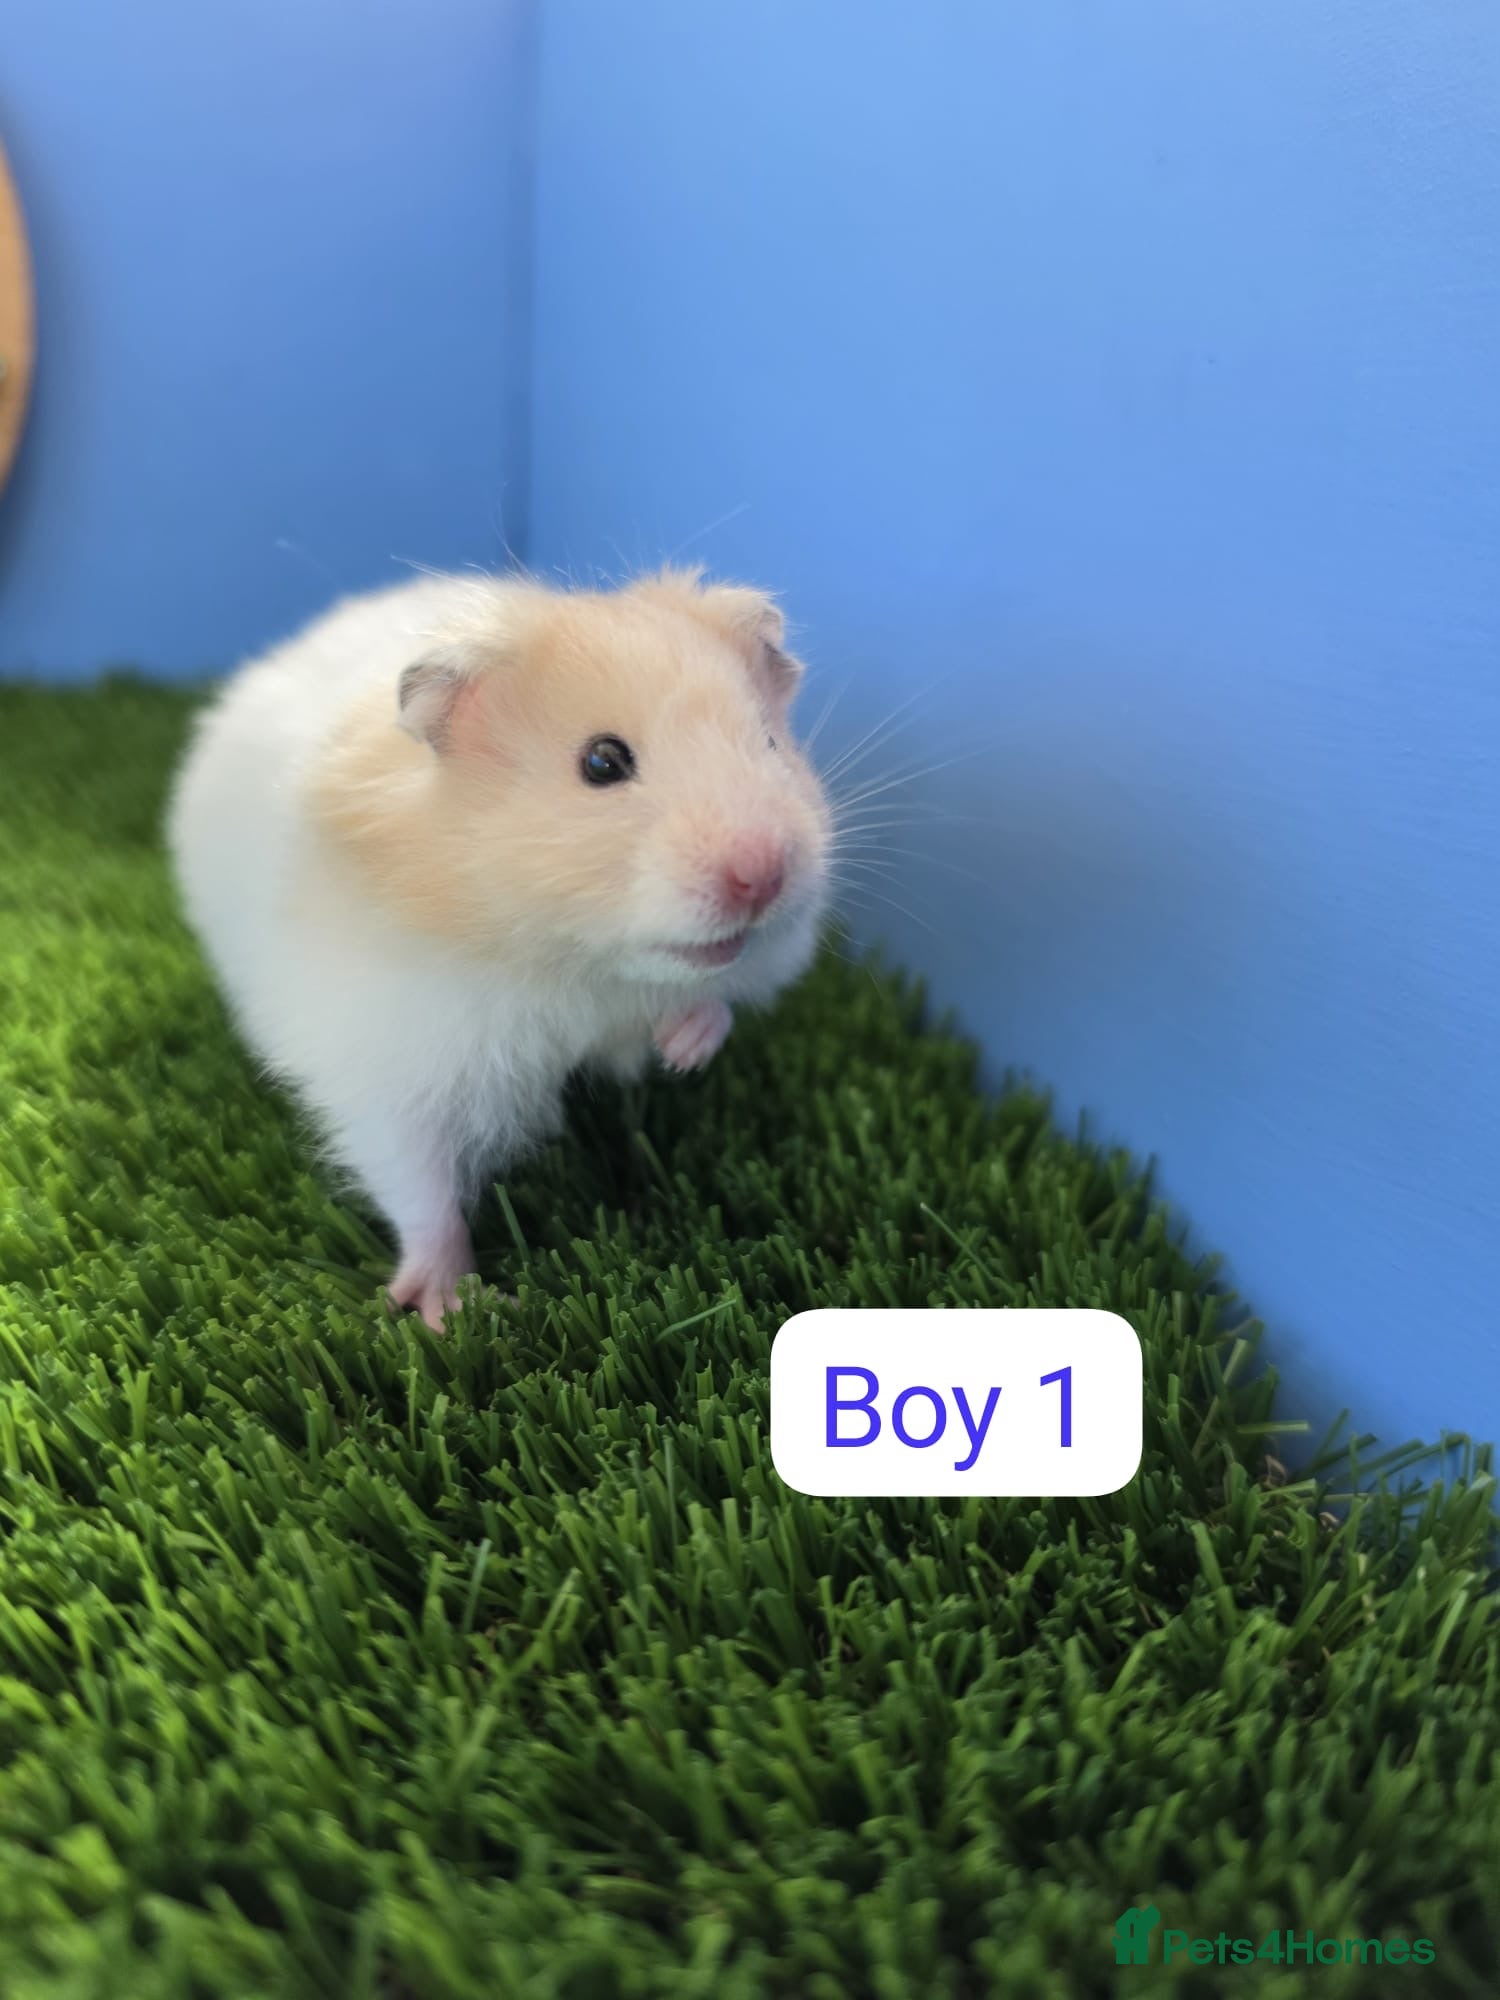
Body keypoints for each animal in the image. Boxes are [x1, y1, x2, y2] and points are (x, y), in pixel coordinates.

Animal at [167, 566, 832, 1328]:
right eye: (602, 762)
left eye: (771, 743)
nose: (763, 876)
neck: (566, 960)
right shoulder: (392, 1071)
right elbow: (421, 1190)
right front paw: (450, 1310)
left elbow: (712, 1000)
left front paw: (682, 1051)